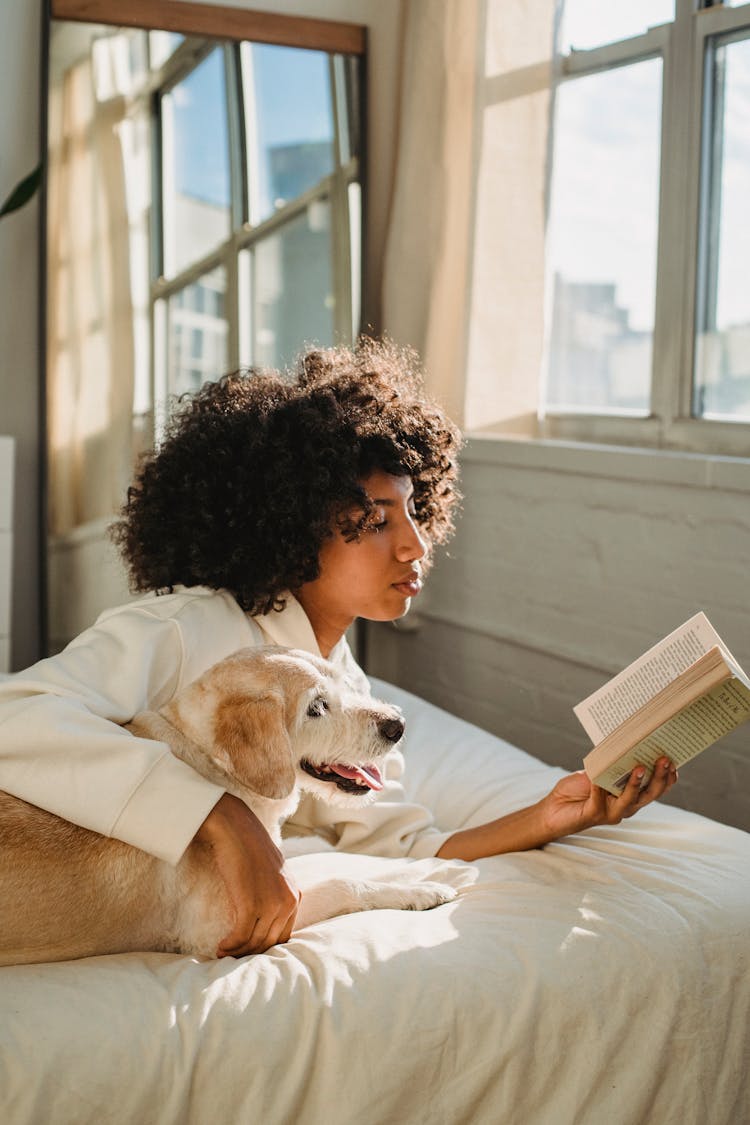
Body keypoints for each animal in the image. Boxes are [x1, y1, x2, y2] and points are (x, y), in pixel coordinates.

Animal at [0, 648, 463, 963]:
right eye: (317, 707)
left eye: (344, 687)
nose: (397, 726)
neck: (210, 764)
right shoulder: (228, 931)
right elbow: (345, 883)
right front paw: (421, 889)